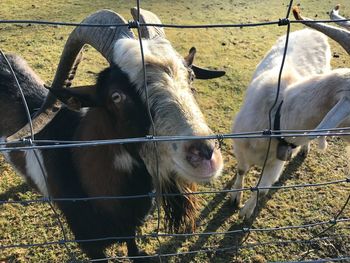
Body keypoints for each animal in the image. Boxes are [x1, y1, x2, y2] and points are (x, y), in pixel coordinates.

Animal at [231, 27, 332, 220]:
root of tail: (311, 31)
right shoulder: (240, 145)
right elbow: (241, 170)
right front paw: (235, 196)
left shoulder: (276, 162)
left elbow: (262, 189)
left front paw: (246, 212)